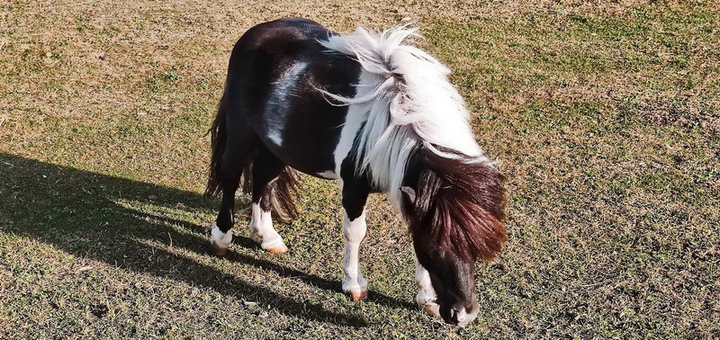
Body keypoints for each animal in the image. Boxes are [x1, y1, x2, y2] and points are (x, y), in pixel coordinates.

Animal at [202, 18, 506, 326]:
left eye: (477, 250)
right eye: (435, 249)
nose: (463, 315)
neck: (394, 121)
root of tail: (256, 32)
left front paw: (426, 298)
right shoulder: (354, 187)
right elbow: (355, 233)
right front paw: (354, 284)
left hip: (275, 145)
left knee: (264, 179)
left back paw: (266, 236)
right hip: (241, 133)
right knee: (231, 177)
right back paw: (221, 238)